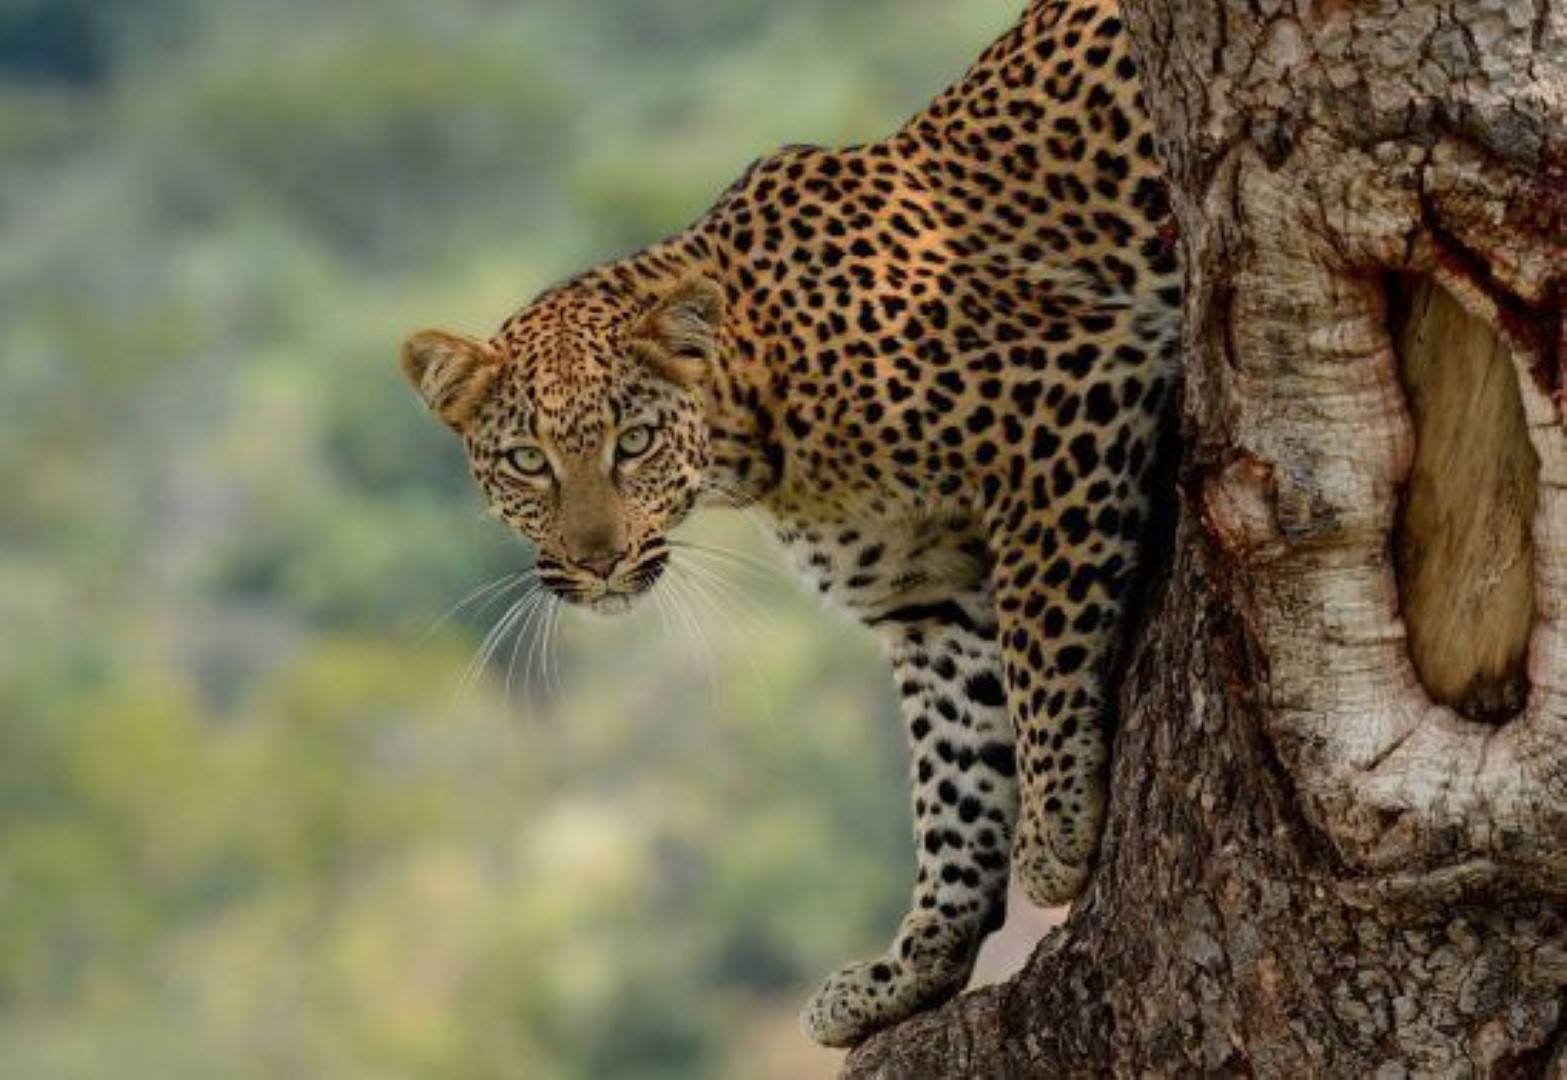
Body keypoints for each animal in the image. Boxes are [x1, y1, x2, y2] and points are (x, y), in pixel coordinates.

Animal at [401, 0, 1178, 1047]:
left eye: (633, 443)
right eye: (528, 462)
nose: (597, 563)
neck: (758, 424)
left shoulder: (1069, 396)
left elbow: (1042, 638)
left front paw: (1057, 830)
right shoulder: (926, 600)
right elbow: (954, 778)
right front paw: (910, 967)